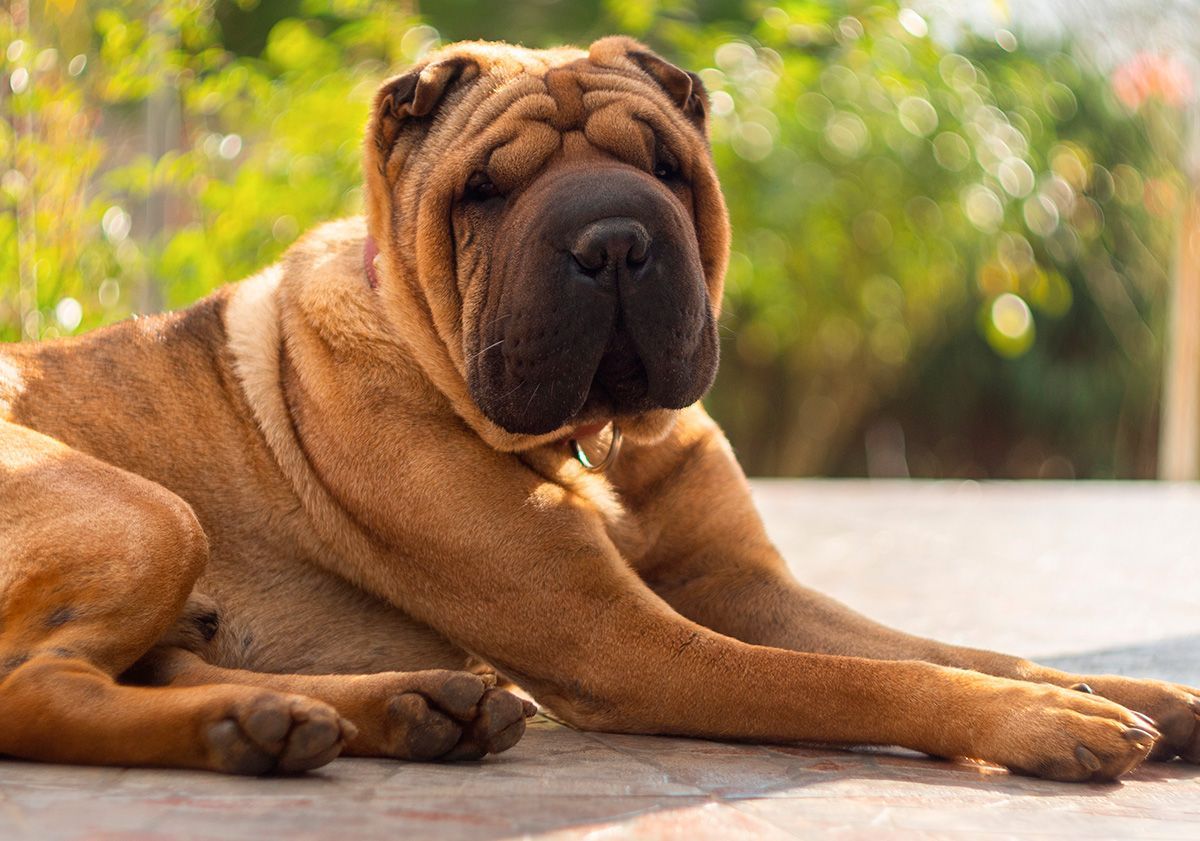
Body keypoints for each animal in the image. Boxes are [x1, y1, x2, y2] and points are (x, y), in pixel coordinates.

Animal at [2, 36, 1200, 777]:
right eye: (485, 190)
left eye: (669, 167)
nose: (614, 238)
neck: (597, 446)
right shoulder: (627, 642)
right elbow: (865, 678)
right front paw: (1045, 719)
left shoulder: (741, 583)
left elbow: (948, 644)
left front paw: (1119, 688)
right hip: (146, 514)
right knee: (35, 692)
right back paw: (277, 719)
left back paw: (370, 709)